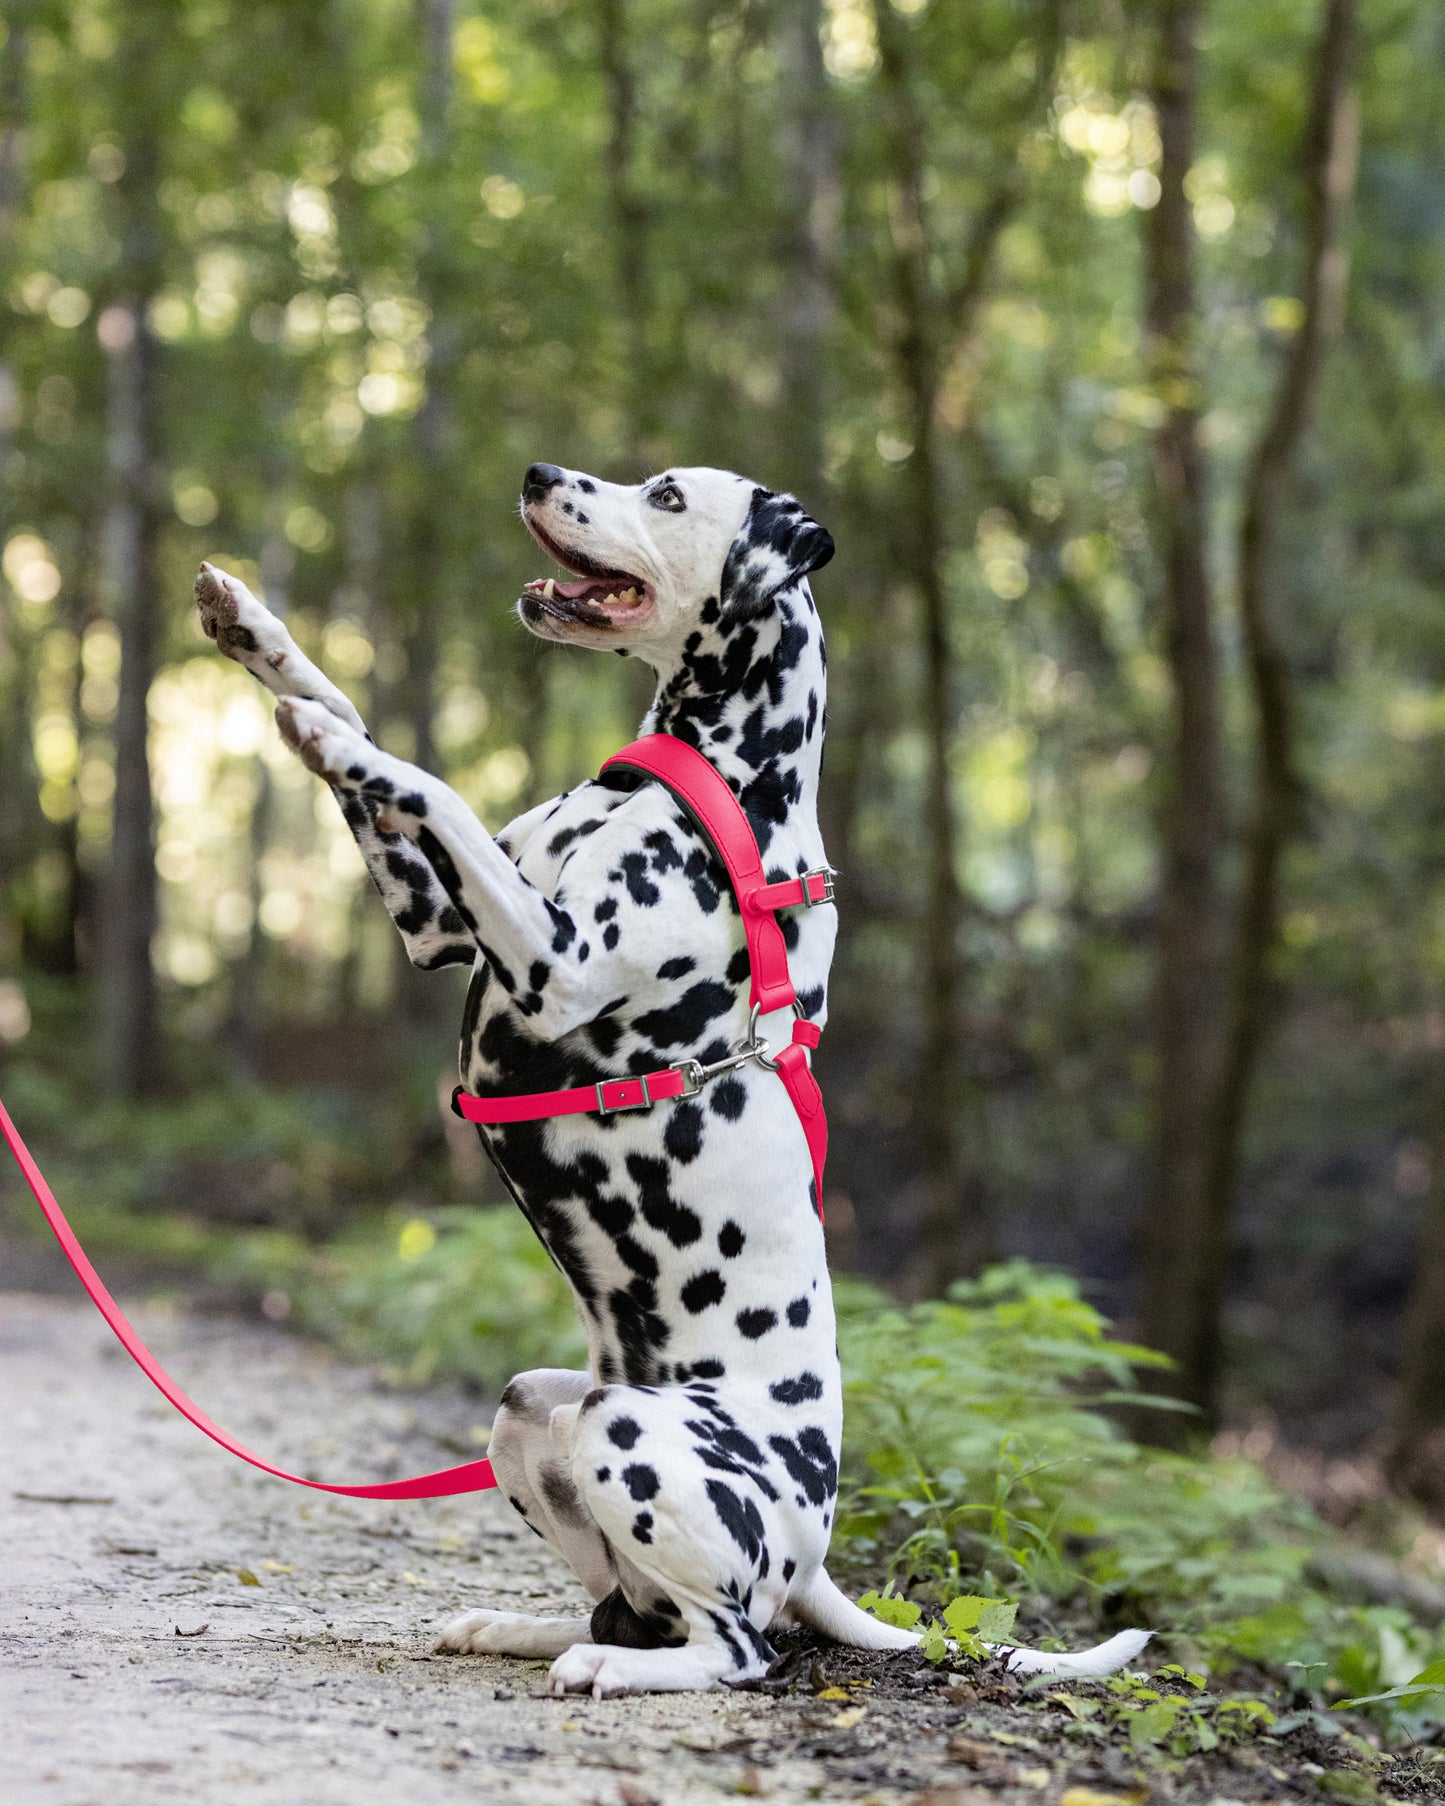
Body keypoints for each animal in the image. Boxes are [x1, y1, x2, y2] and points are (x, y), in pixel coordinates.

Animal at [195, 462, 1148, 1690]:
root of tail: (812, 1555)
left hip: (630, 1438)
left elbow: (424, 777)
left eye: (665, 494)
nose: (538, 473)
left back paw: (619, 1670)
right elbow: (368, 724)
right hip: (533, 1412)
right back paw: (526, 1630)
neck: (716, 783)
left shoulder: (551, 961)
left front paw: (320, 728)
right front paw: (257, 637)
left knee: (736, 1651)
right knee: (623, 1605)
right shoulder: (439, 924)